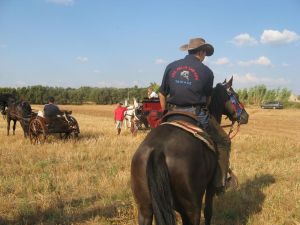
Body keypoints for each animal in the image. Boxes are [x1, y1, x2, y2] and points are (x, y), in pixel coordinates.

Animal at [130, 78, 247, 225]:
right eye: (236, 96)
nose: (245, 116)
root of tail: (158, 150)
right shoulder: (210, 188)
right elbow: (208, 211)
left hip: (144, 208)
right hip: (191, 208)